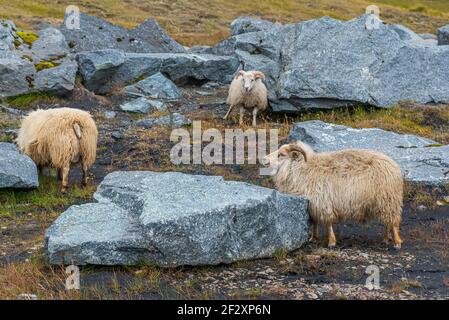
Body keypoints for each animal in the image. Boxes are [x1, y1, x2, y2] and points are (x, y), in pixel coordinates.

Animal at [262, 141, 402, 249]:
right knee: (388, 222)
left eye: (281, 154)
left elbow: (328, 223)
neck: (303, 170)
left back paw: (397, 243)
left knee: (393, 222)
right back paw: (385, 239)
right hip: (385, 202)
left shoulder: (323, 203)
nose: (264, 159)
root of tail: (393, 165)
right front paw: (313, 238)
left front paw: (331, 242)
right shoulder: (312, 205)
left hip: (388, 199)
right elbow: (314, 222)